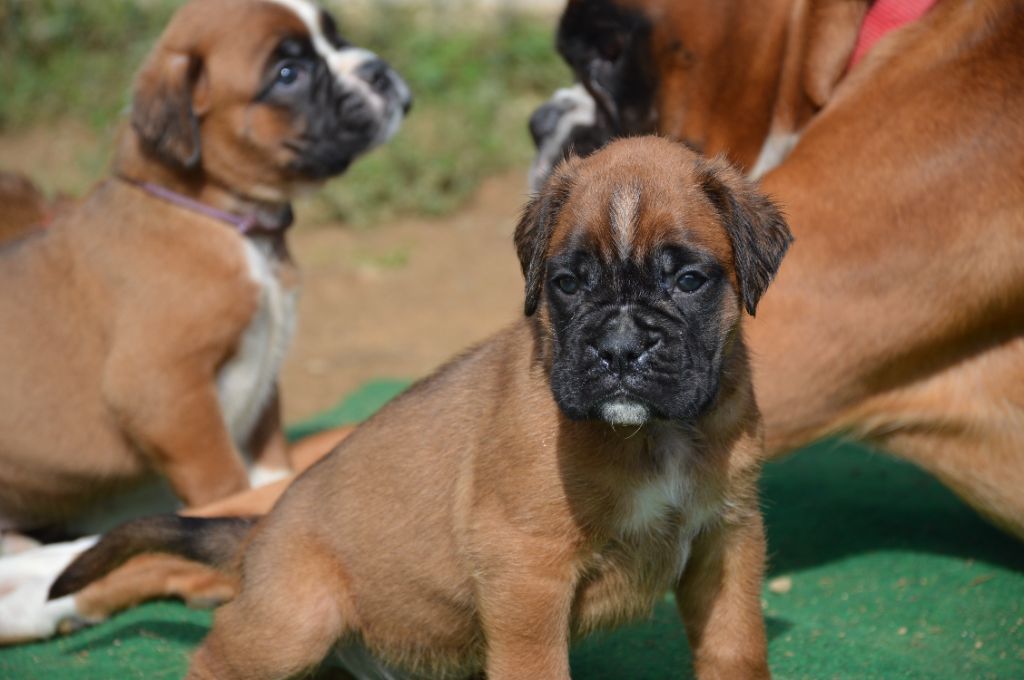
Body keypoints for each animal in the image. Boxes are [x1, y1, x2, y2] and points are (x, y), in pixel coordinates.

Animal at [51, 138, 790, 680]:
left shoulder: (727, 540)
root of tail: (260, 535)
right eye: (568, 283)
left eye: (688, 280)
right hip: (295, 619)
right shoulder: (526, 573)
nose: (619, 348)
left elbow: (735, 645)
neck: (656, 436)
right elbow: (537, 667)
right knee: (217, 656)